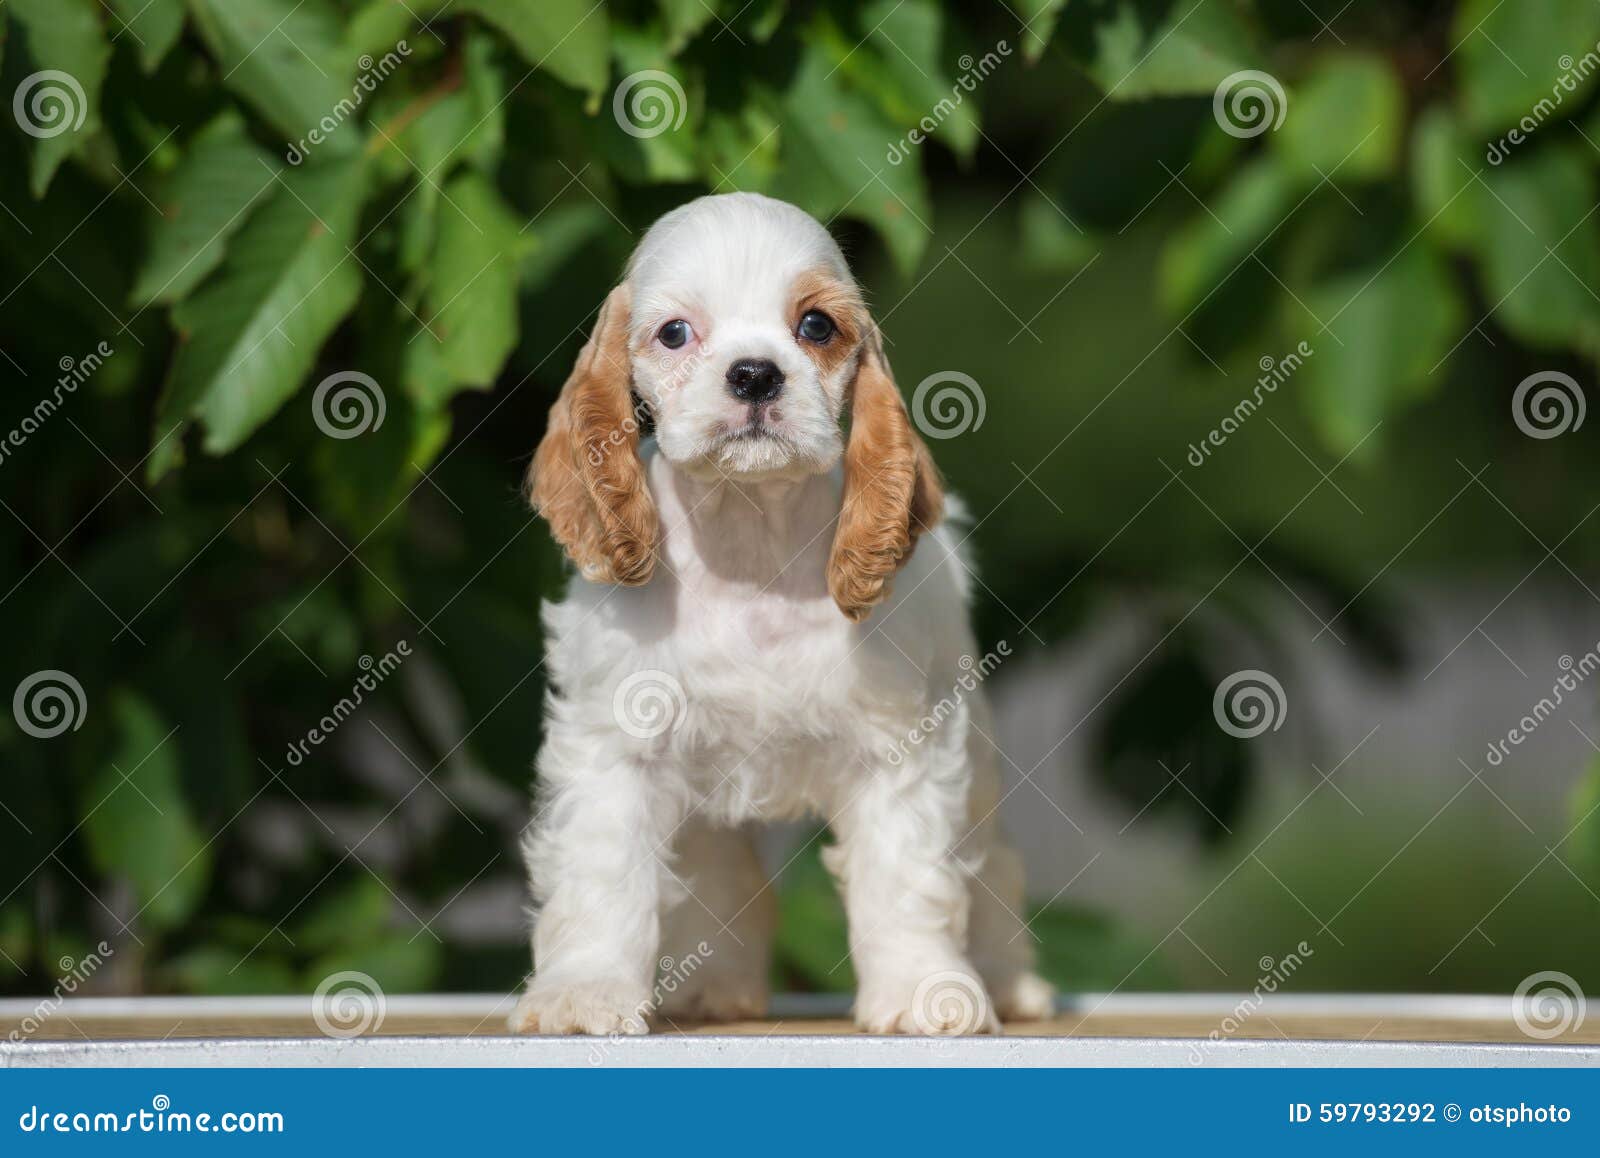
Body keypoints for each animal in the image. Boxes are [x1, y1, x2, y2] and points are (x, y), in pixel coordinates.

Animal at [512, 194, 1056, 1036]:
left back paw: (1010, 983)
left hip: (979, 762)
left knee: (992, 865)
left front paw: (923, 991)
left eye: (816, 326)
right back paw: (714, 987)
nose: (755, 374)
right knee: (721, 874)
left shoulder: (898, 748)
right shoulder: (616, 746)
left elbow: (908, 874)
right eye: (675, 333)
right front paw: (584, 992)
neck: (749, 536)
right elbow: (604, 875)